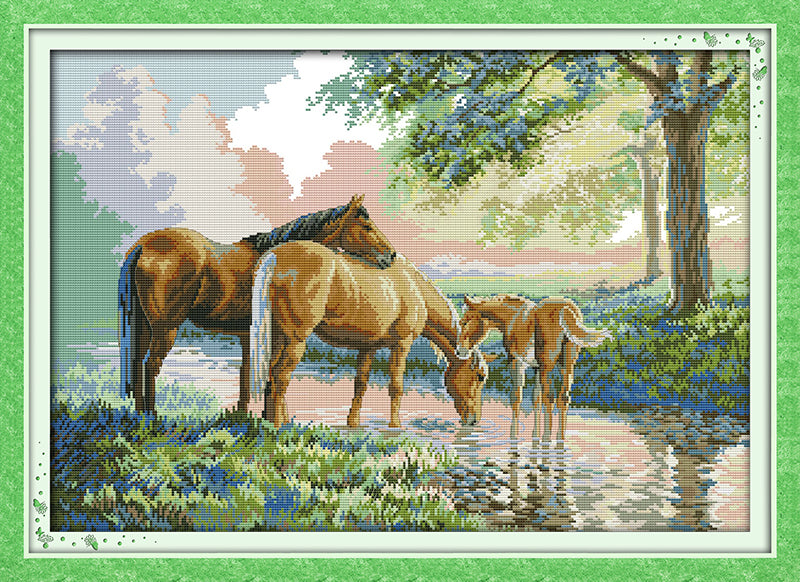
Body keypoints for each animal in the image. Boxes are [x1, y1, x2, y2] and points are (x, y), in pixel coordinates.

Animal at [118, 194, 396, 414]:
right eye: (366, 225)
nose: (391, 255)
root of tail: (143, 245)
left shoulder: (250, 337)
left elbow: (246, 376)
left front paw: (245, 418)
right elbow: (266, 376)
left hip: (144, 326)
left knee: (137, 363)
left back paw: (140, 416)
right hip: (166, 327)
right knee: (151, 365)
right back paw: (152, 417)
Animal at [248, 240, 492, 428]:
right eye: (480, 376)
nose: (474, 420)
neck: (414, 287)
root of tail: (275, 255)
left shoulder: (368, 347)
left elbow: (361, 385)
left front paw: (353, 424)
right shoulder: (402, 344)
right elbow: (396, 386)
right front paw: (395, 426)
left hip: (278, 336)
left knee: (271, 374)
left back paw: (276, 422)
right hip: (296, 339)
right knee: (281, 376)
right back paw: (279, 427)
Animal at [457, 295, 612, 441]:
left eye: (465, 322)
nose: (459, 351)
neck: (512, 317)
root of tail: (566, 308)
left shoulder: (516, 362)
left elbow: (516, 397)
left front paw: (514, 435)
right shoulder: (536, 367)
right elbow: (536, 398)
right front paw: (535, 436)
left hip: (547, 366)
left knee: (549, 397)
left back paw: (547, 438)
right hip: (566, 365)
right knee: (563, 398)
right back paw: (560, 438)